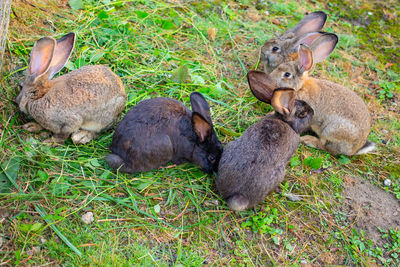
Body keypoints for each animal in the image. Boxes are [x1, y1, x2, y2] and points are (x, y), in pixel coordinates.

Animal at [217, 70, 314, 211]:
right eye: (302, 114)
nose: (313, 112)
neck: (285, 122)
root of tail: (237, 196)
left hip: (230, 147)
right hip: (280, 174)